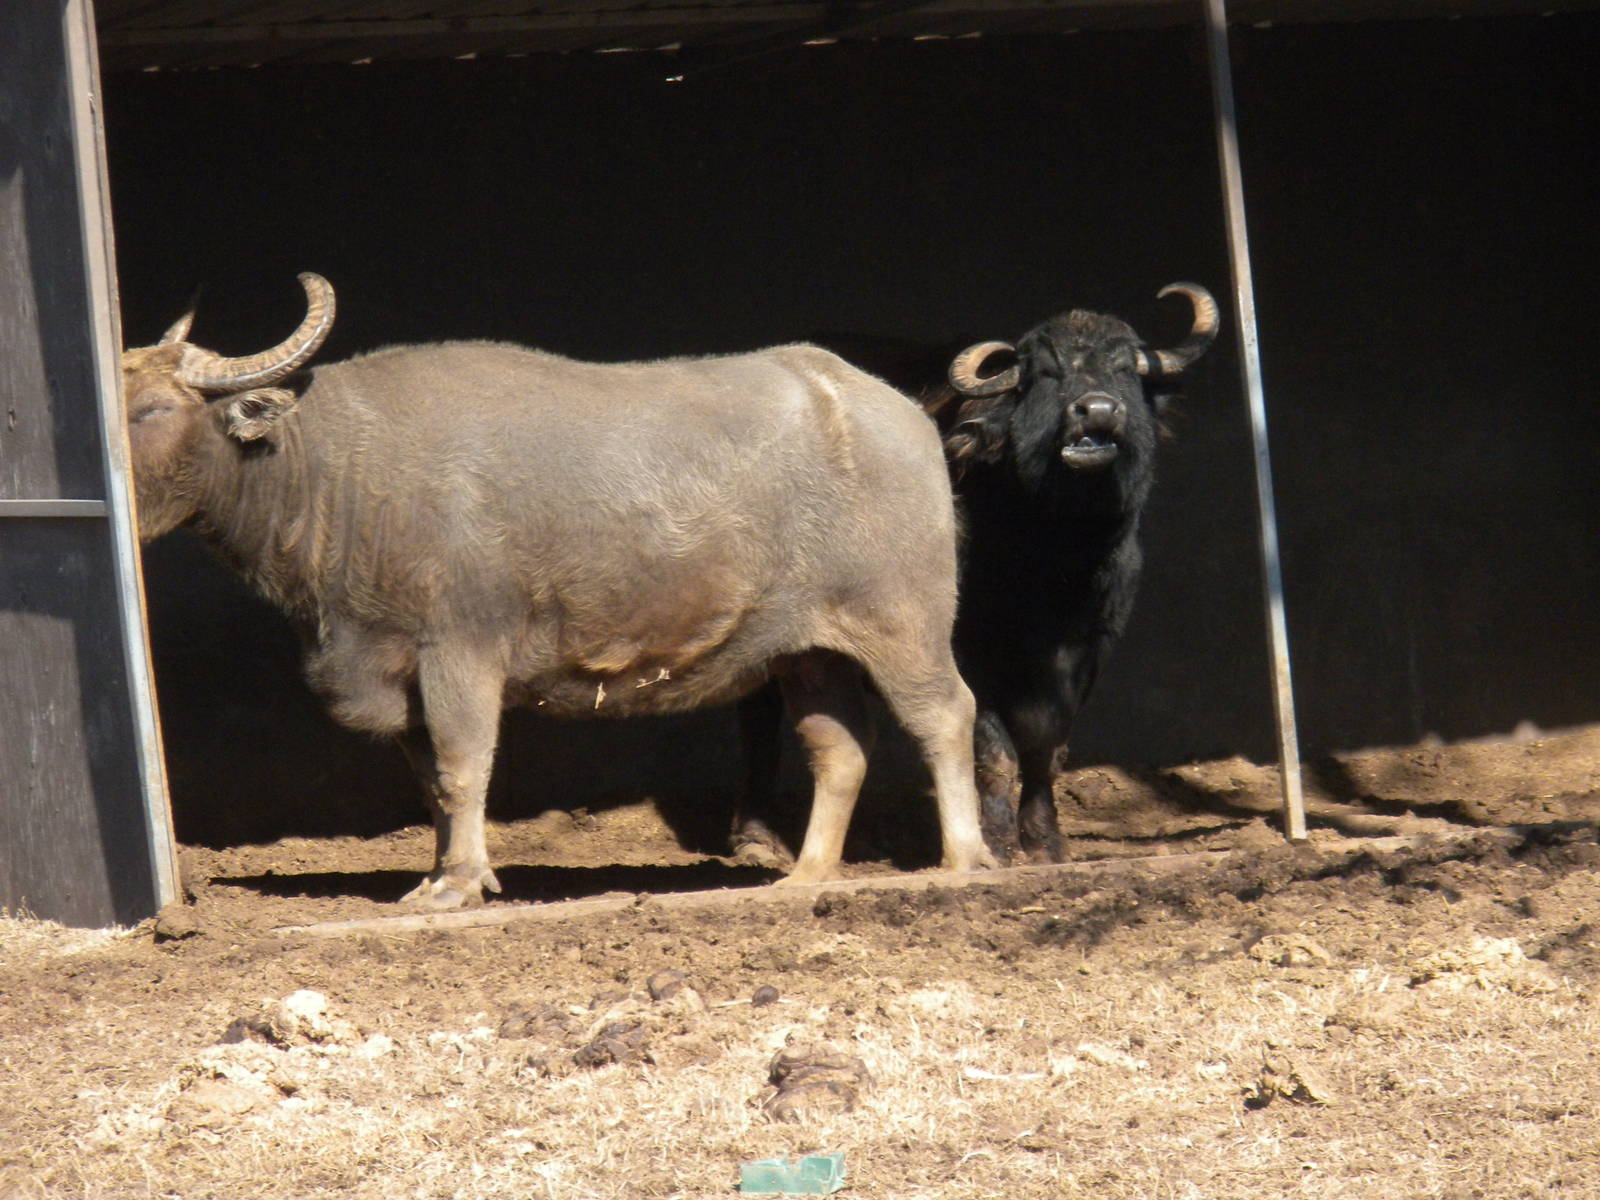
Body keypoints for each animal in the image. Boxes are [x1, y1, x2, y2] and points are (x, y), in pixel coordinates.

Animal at [123, 274, 995, 908]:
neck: (337, 472)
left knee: (943, 715)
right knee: (839, 747)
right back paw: (807, 874)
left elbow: (464, 762)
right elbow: (429, 781)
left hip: (903, 622)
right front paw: (436, 875)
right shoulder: (398, 670)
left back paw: (964, 857)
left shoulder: (461, 651)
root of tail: (907, 417)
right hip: (808, 652)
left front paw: (462, 884)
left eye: (152, 409)